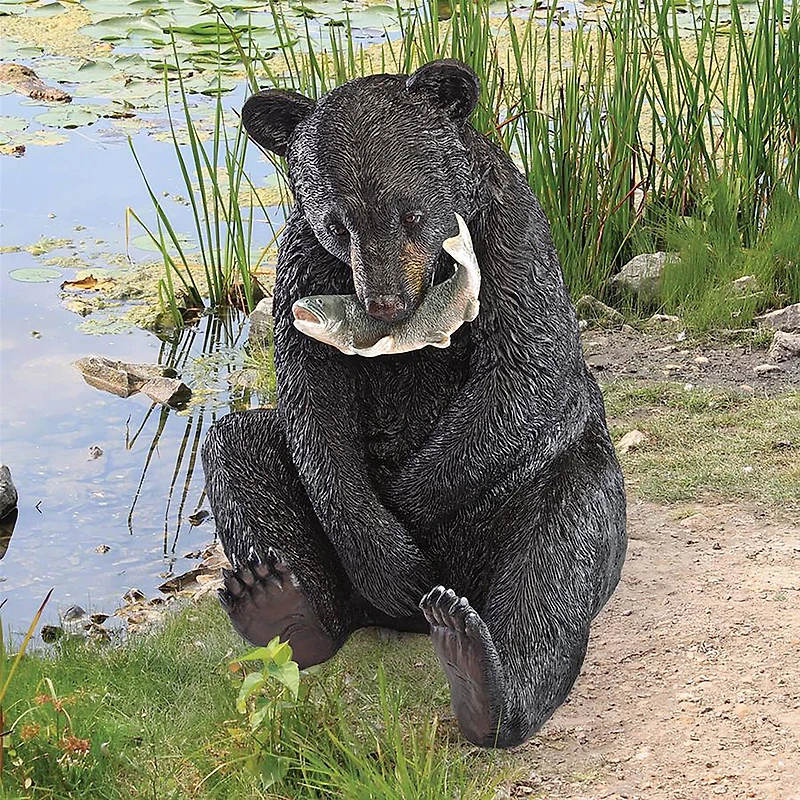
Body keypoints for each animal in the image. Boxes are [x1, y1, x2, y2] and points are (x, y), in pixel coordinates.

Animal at [201, 59, 627, 748]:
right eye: (338, 220)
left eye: (411, 212)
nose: (385, 302)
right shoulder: (302, 270)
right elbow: (312, 405)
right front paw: (389, 557)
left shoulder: (509, 239)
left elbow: (530, 372)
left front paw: (407, 510)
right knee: (240, 446)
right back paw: (279, 602)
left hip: (551, 493)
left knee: (557, 552)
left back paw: (478, 669)